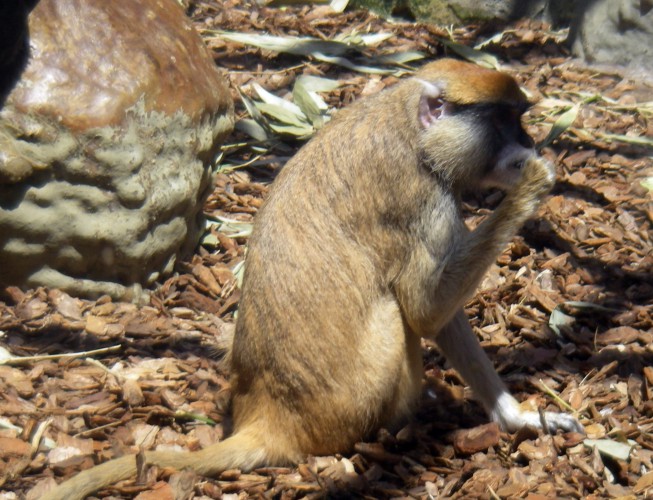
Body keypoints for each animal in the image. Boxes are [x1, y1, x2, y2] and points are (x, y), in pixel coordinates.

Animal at [42, 59, 583, 500]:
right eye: (504, 121)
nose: (528, 144)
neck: (410, 126)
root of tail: (272, 418)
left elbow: (443, 319)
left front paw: (516, 418)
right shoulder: (418, 195)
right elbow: (425, 311)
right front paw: (532, 183)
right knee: (394, 314)